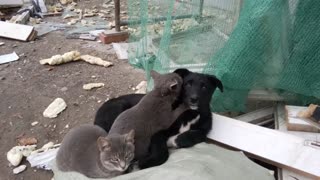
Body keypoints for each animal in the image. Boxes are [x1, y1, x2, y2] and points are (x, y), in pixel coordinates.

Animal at [92, 68, 222, 169]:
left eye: (204, 87)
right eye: (187, 84)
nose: (193, 99)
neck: (190, 114)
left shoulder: (203, 132)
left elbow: (196, 134)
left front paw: (175, 140)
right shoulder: (159, 132)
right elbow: (161, 152)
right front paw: (146, 162)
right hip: (120, 107)